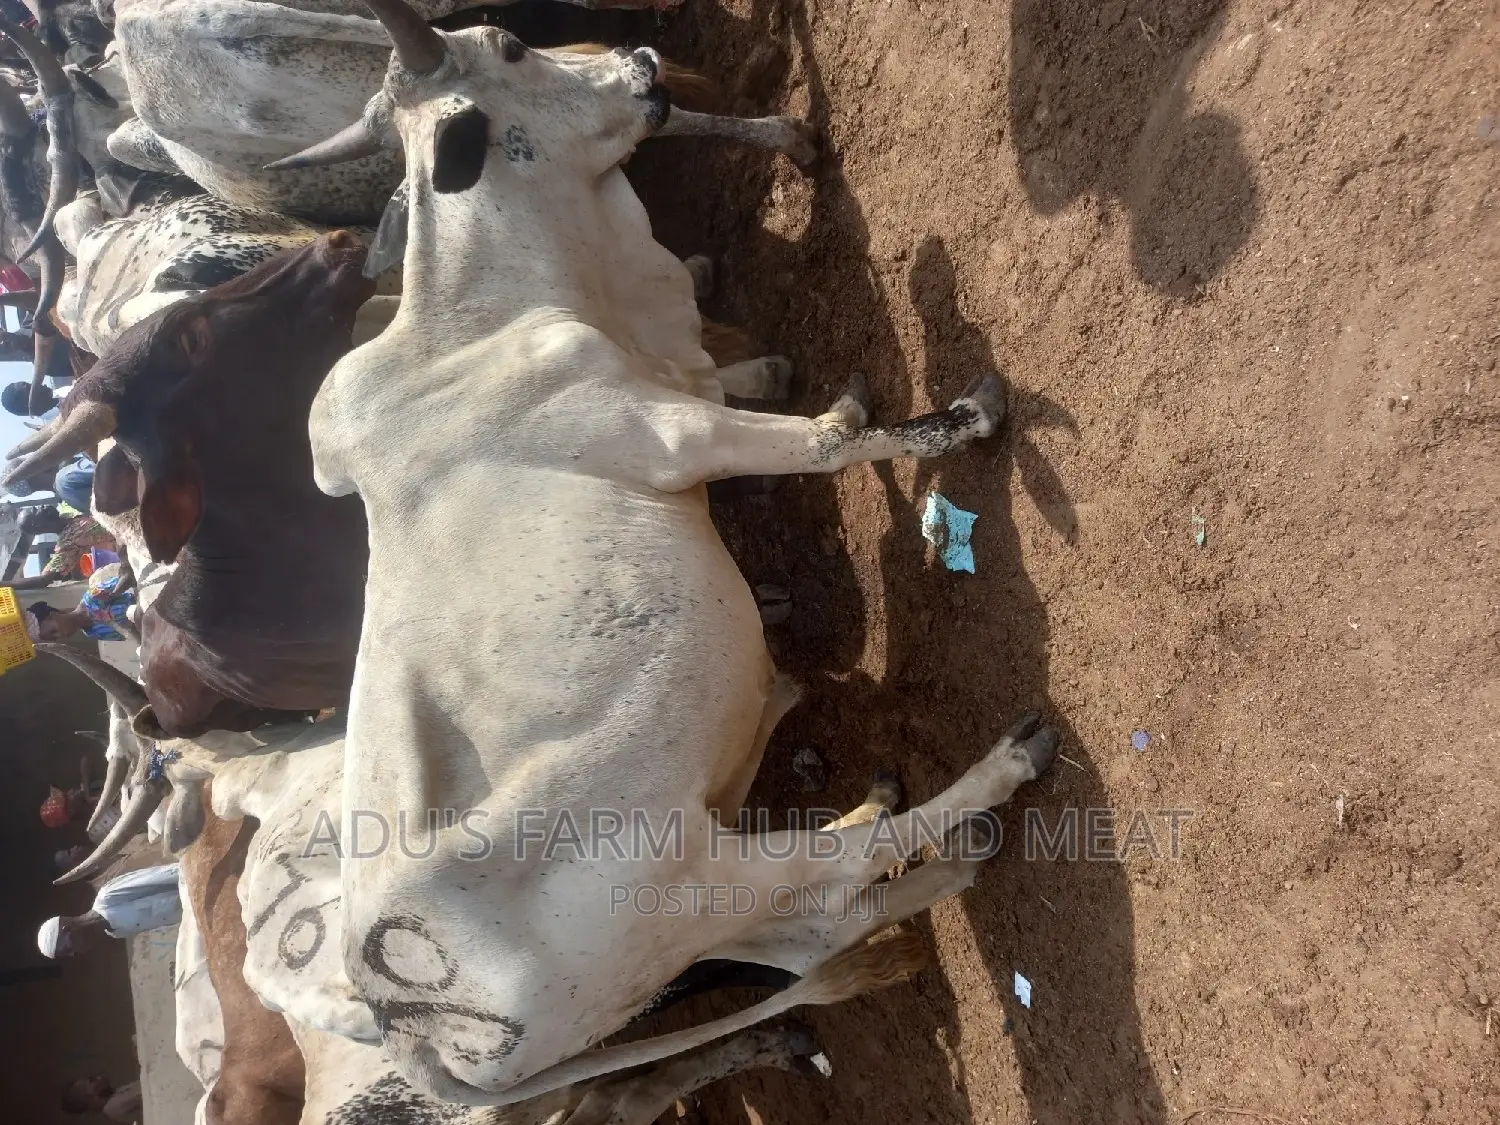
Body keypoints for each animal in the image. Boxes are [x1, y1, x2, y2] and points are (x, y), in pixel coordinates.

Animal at [271, 1, 1056, 1103]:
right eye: (512, 46)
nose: (641, 61)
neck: (480, 321)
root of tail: (411, 1027)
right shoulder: (671, 431)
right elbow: (834, 438)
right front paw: (967, 418)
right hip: (701, 879)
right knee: (833, 879)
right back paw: (989, 780)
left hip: (688, 932)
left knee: (819, 928)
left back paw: (909, 844)